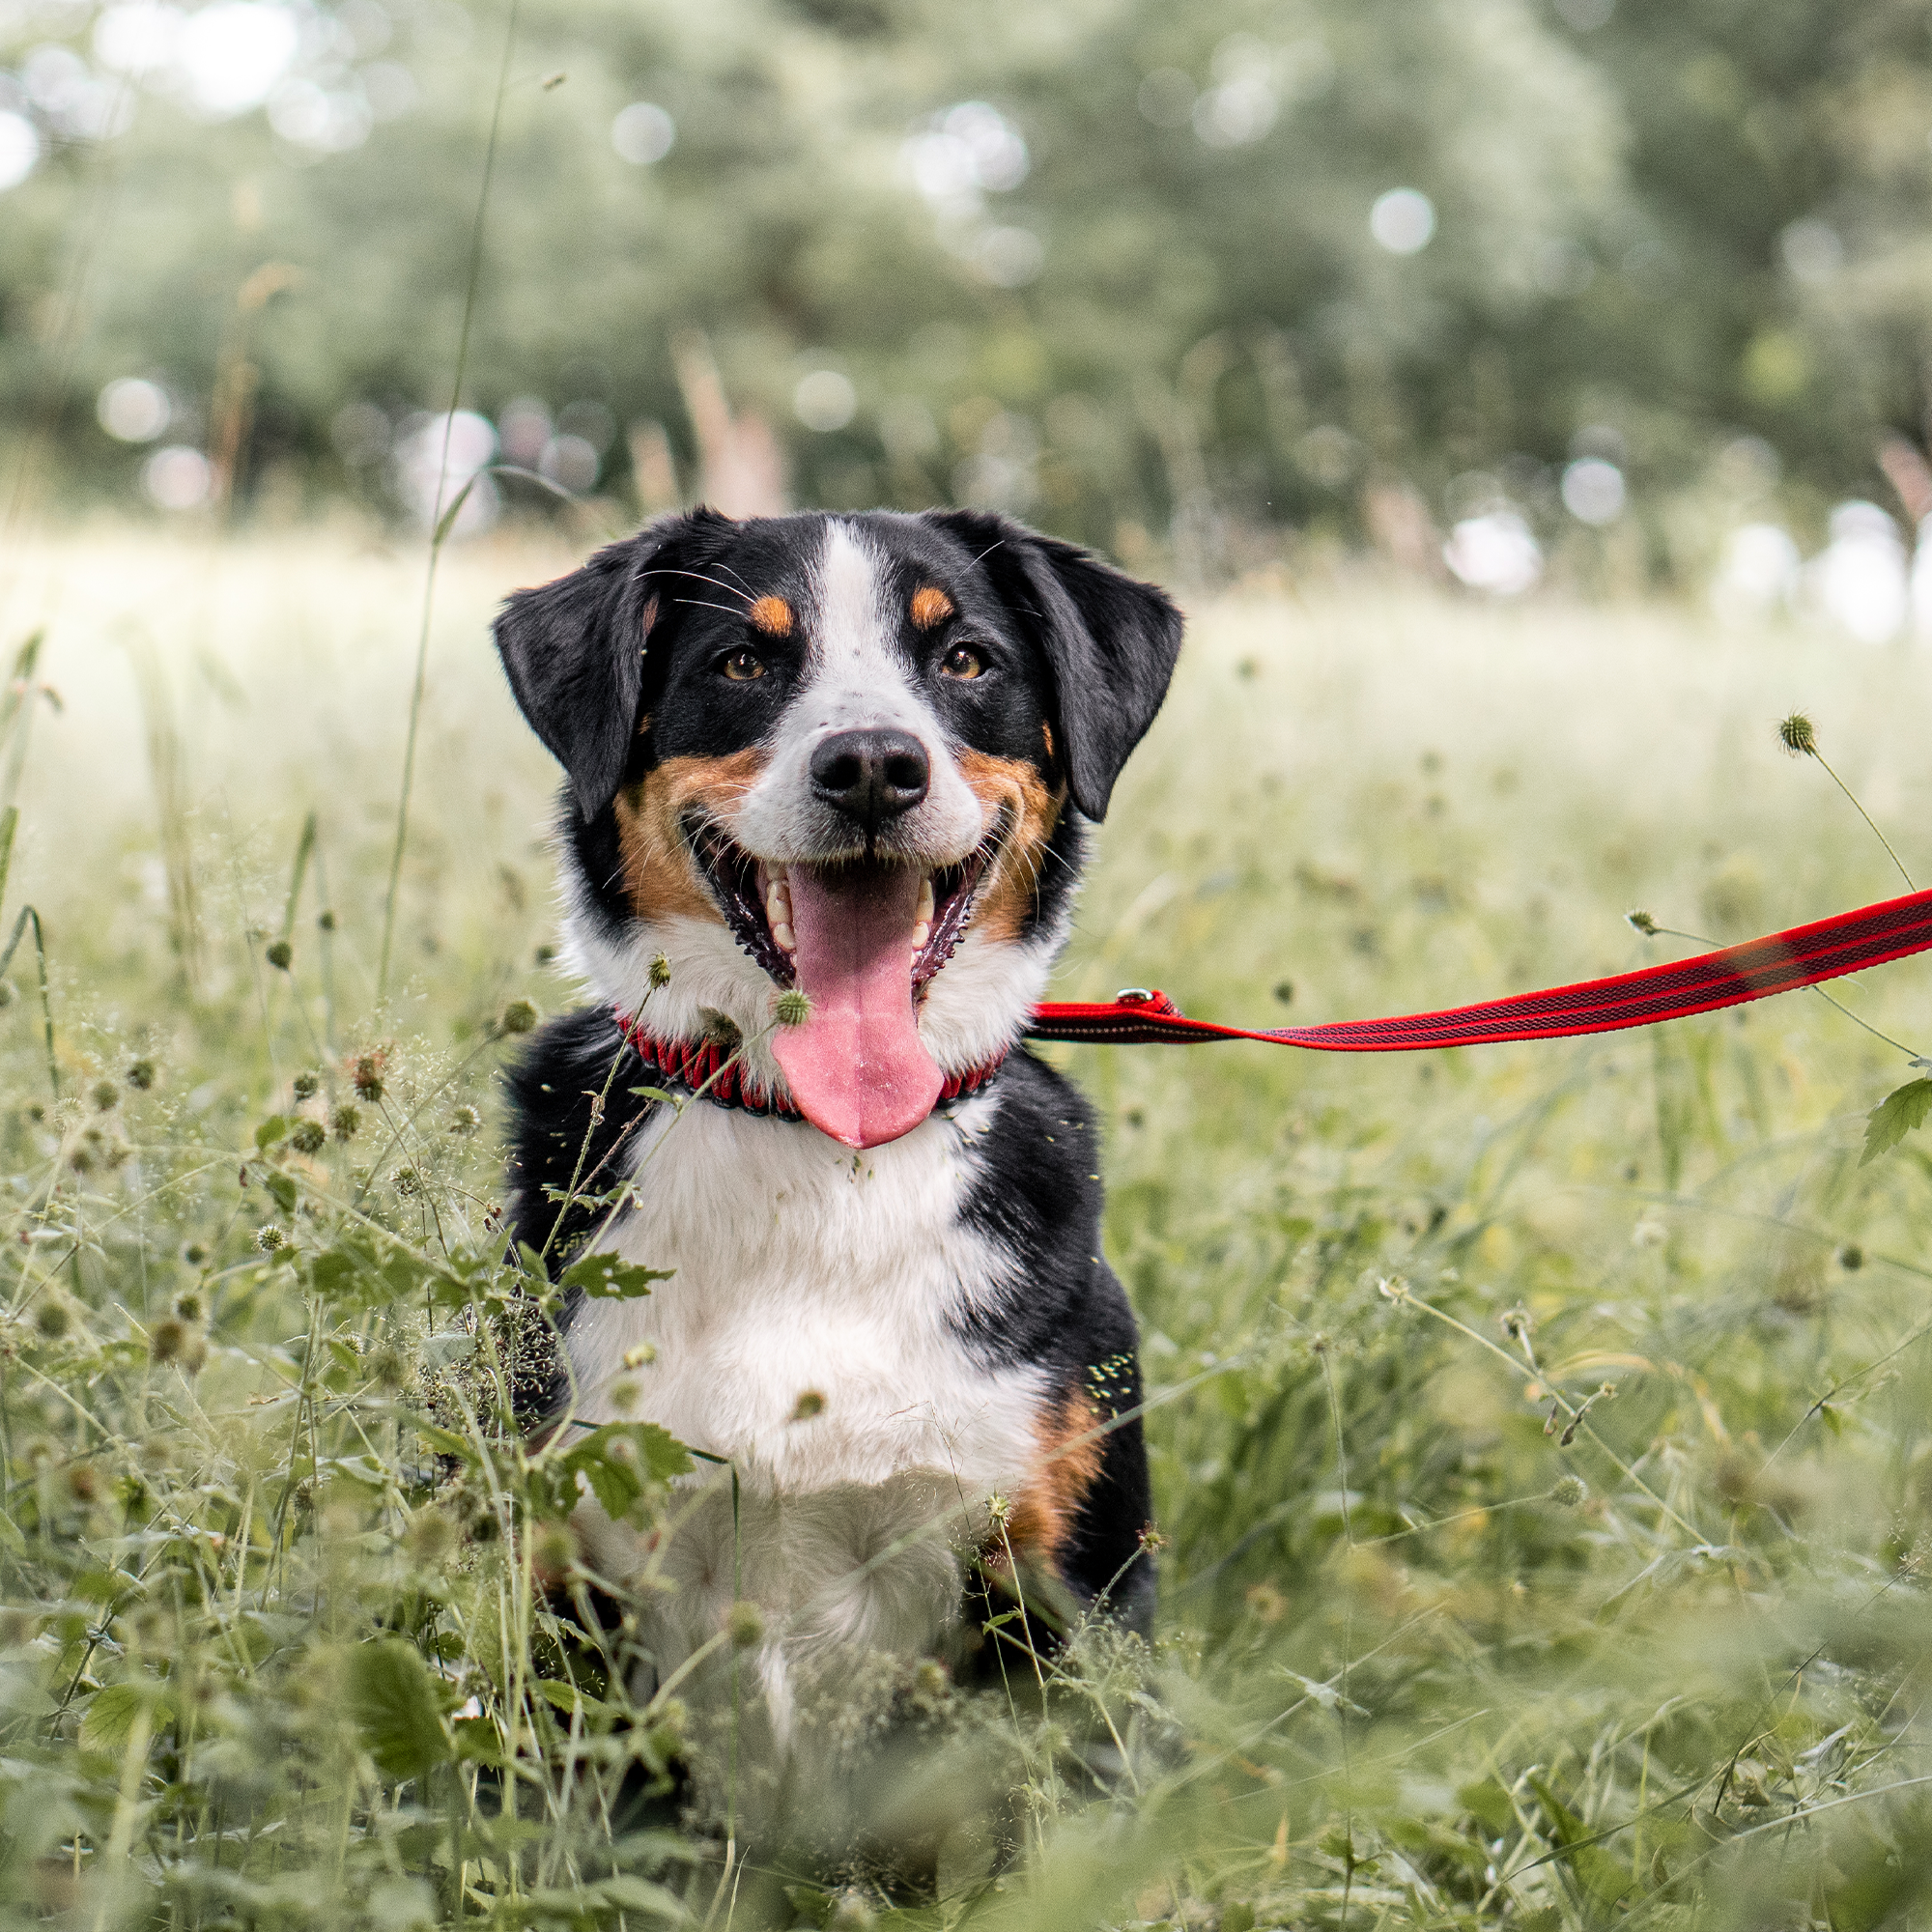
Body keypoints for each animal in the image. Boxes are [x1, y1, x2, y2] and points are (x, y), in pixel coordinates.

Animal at [491, 502, 1182, 1824]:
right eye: (741, 661)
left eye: (963, 659)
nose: (870, 764)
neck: (818, 1151)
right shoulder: (563, 1570)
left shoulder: (1064, 1587)